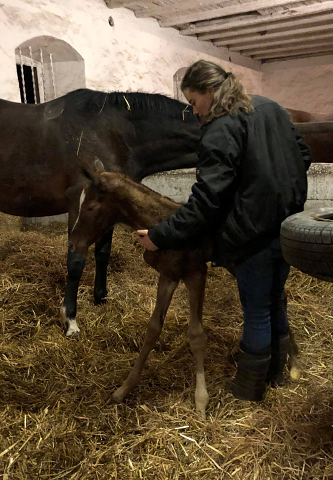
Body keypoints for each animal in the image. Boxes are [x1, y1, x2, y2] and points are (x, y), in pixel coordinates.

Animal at [0, 91, 200, 338]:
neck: (115, 132)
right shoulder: (79, 203)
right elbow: (76, 259)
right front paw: (70, 319)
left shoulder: (109, 205)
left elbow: (103, 252)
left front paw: (100, 296)